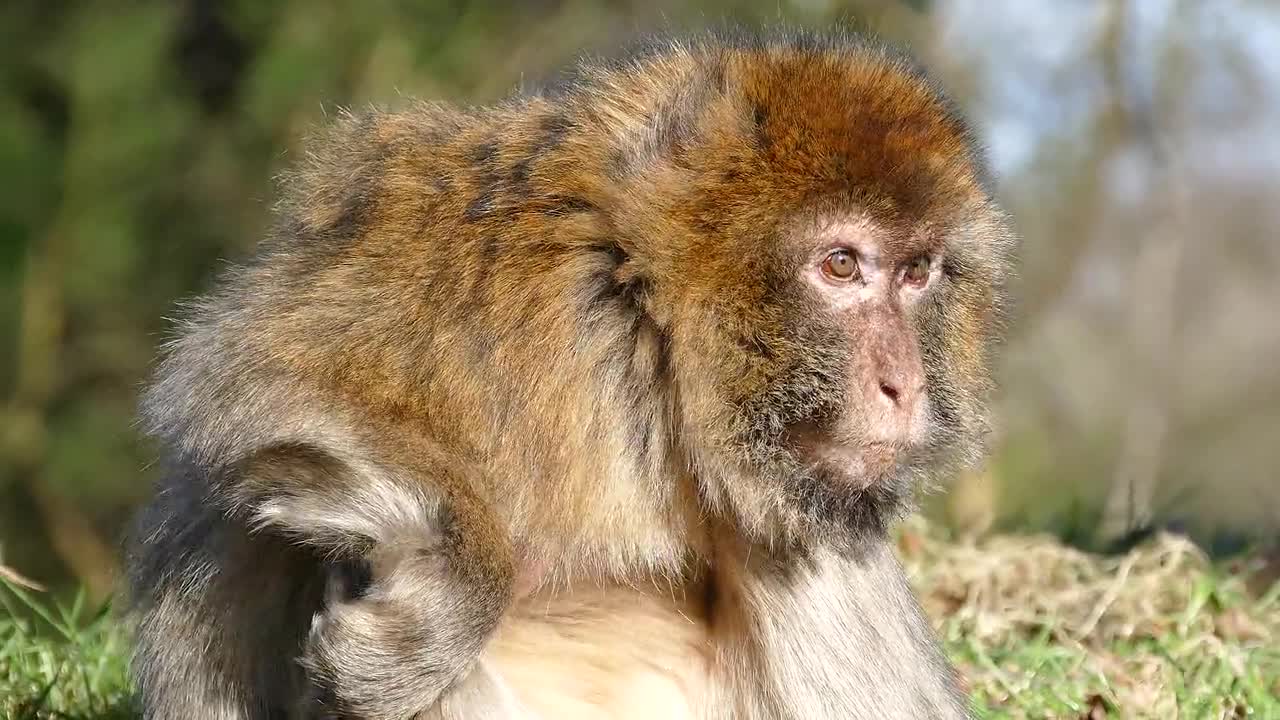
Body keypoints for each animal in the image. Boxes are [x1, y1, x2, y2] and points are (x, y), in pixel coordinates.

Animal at [124, 26, 1013, 717]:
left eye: (917, 273)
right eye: (841, 265)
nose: (904, 385)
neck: (654, 342)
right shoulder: (508, 280)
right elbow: (258, 379)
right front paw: (441, 603)